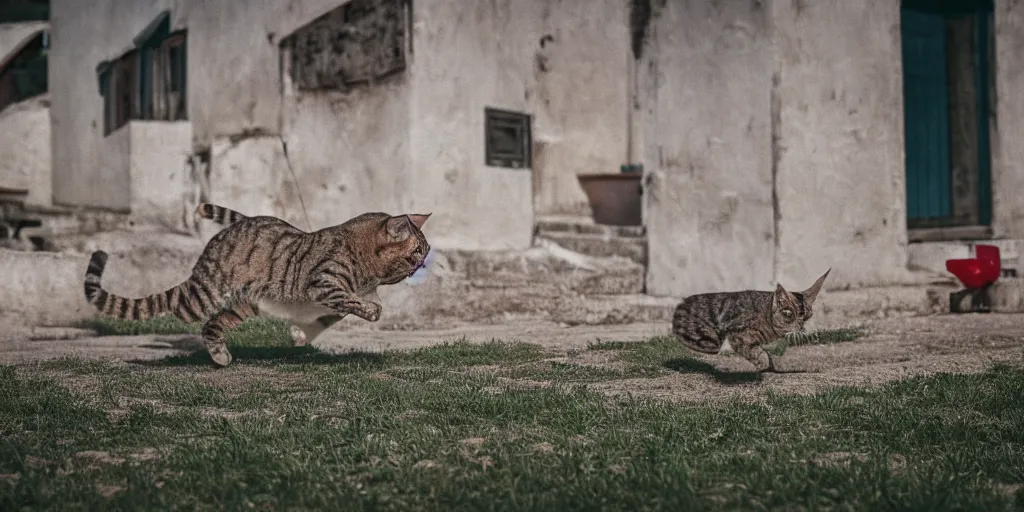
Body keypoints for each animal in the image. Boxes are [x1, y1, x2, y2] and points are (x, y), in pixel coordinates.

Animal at [81, 203, 430, 368]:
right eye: (417, 252)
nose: (425, 262)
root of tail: (236, 225)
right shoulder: (324, 285)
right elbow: (357, 304)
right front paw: (370, 312)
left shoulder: (330, 301)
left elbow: (329, 318)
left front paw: (300, 335)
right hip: (201, 296)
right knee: (171, 303)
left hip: (243, 304)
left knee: (212, 325)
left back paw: (220, 356)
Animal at [671, 270, 831, 374]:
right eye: (789, 314)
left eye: (807, 317)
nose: (800, 327)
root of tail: (680, 305)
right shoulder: (739, 335)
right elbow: (759, 353)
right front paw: (763, 365)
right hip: (709, 341)